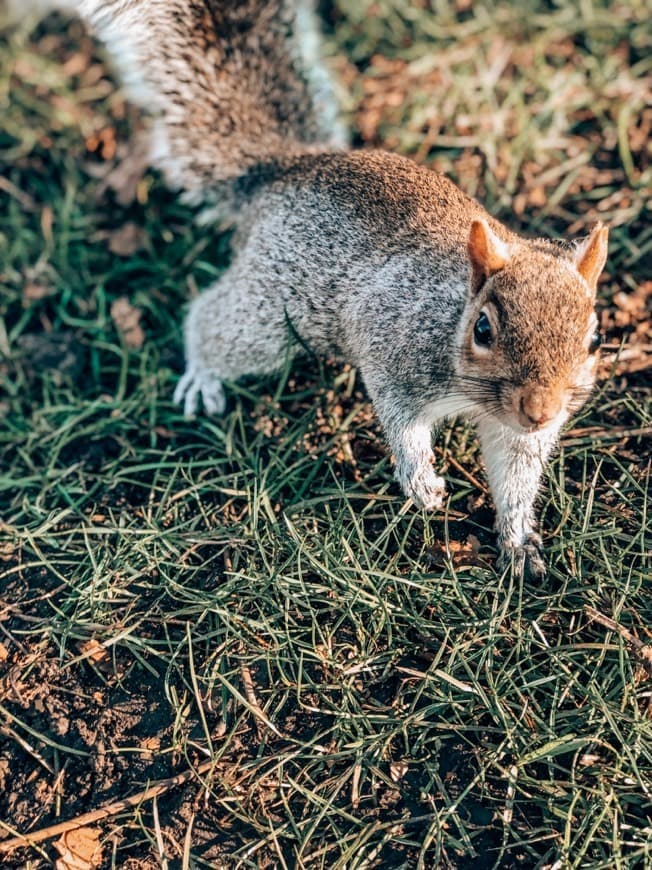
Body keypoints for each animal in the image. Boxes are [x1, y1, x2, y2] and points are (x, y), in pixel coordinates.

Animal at [3, 5, 608, 584]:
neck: (451, 320)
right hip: (270, 316)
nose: (540, 411)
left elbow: (515, 473)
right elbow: (399, 418)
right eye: (484, 329)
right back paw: (202, 375)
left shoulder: (515, 434)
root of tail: (285, 170)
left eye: (594, 341)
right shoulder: (391, 339)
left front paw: (519, 541)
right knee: (211, 321)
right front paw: (421, 482)